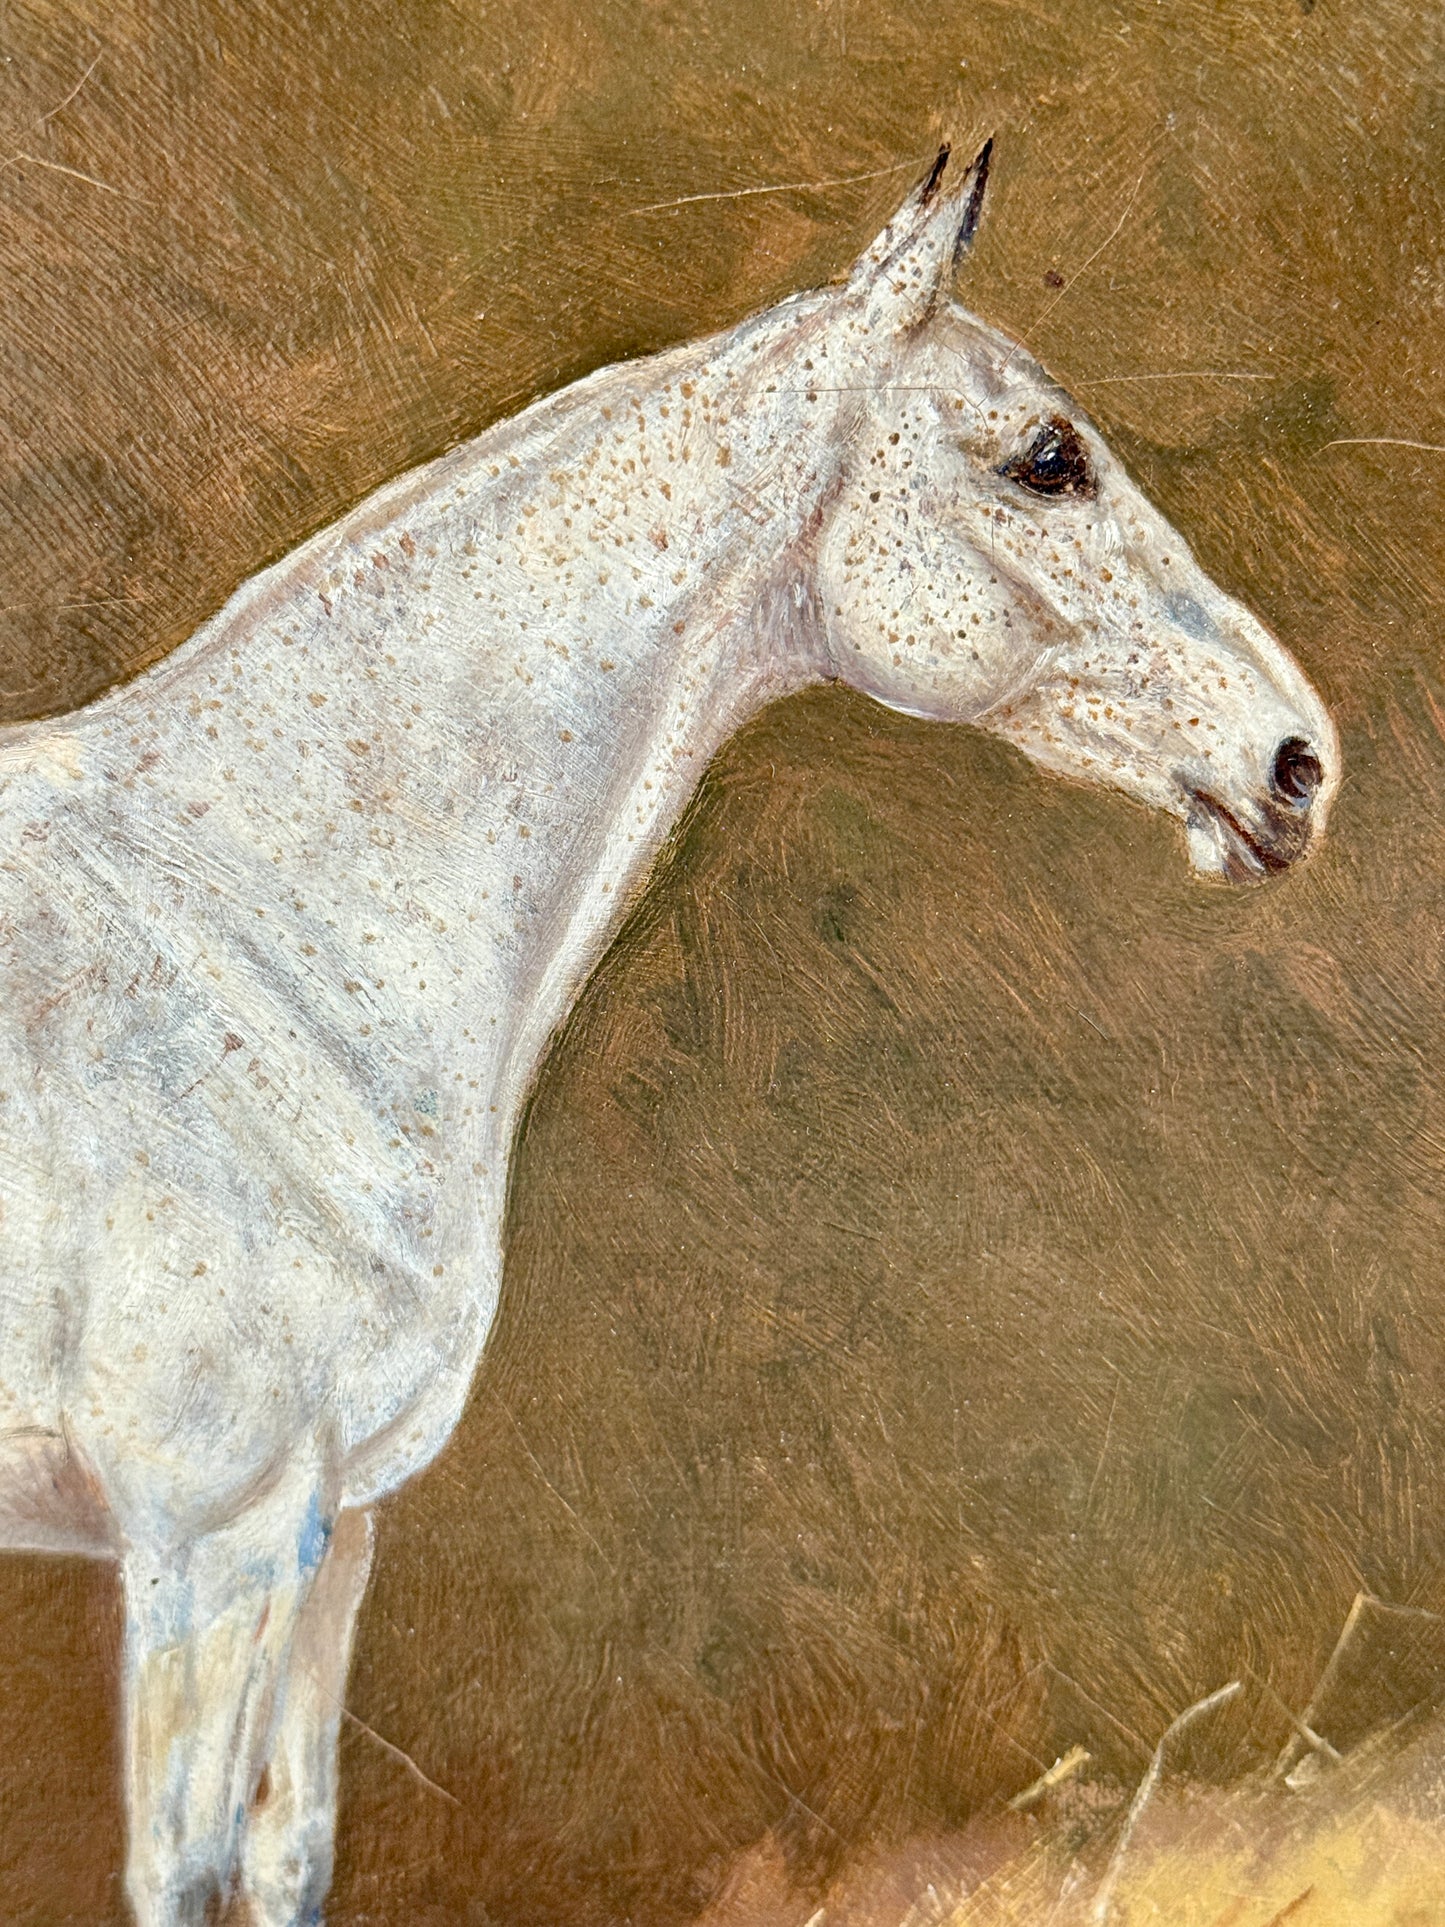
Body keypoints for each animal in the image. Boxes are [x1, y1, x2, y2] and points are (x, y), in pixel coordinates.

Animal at [0, 141, 1338, 1924]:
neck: (249, 935)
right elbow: (185, 1866)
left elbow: (287, 1854)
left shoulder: (323, 1529)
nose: (1297, 762)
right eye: (1047, 461)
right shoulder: (205, 1539)